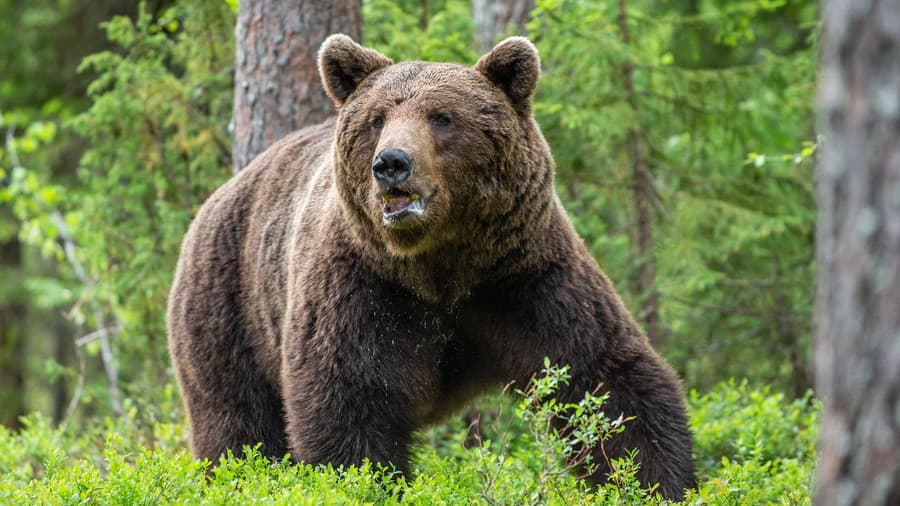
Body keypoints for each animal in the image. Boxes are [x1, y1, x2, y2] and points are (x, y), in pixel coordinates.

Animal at [167, 34, 696, 498]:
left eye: (442, 117)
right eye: (377, 118)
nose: (391, 163)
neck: (440, 264)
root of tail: (215, 199)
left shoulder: (525, 277)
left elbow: (604, 381)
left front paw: (660, 482)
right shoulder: (361, 288)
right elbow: (349, 408)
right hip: (228, 309)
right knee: (238, 428)